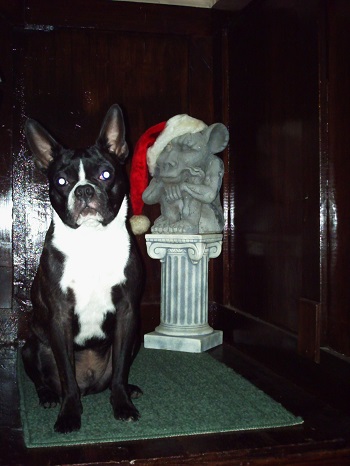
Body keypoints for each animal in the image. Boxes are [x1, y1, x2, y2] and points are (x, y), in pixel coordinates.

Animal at [21, 104, 144, 434]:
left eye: (106, 174)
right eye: (61, 182)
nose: (85, 191)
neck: (92, 241)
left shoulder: (128, 312)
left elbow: (119, 370)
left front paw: (122, 404)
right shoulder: (60, 316)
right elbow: (67, 375)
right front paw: (69, 414)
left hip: (138, 334)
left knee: (118, 371)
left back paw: (130, 389)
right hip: (29, 345)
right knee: (41, 378)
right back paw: (49, 396)